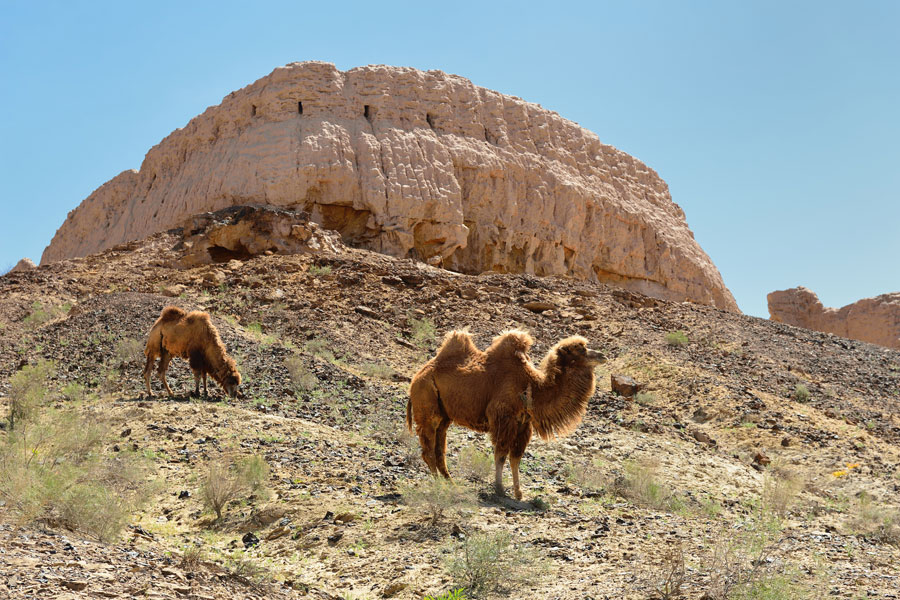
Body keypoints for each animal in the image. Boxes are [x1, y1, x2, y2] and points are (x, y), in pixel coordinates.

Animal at [408, 330, 604, 500]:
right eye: (580, 350)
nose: (602, 355)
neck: (533, 388)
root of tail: (416, 377)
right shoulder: (503, 418)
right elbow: (501, 455)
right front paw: (500, 489)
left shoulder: (523, 425)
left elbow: (515, 458)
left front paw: (518, 493)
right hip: (427, 406)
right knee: (428, 451)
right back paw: (438, 485)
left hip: (444, 417)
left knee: (439, 450)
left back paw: (451, 483)